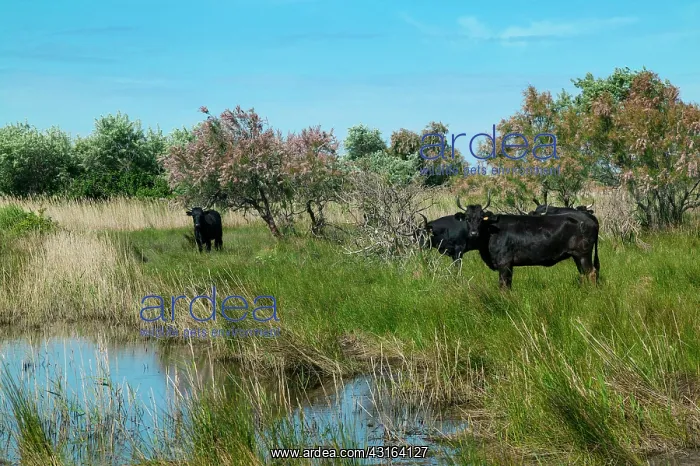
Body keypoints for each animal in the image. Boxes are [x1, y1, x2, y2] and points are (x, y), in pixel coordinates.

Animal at [457, 193, 600, 289]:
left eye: (481, 218)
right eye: (467, 218)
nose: (474, 233)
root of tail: (588, 217)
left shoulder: (504, 263)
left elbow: (503, 286)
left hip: (583, 254)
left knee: (591, 273)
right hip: (576, 255)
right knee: (583, 274)